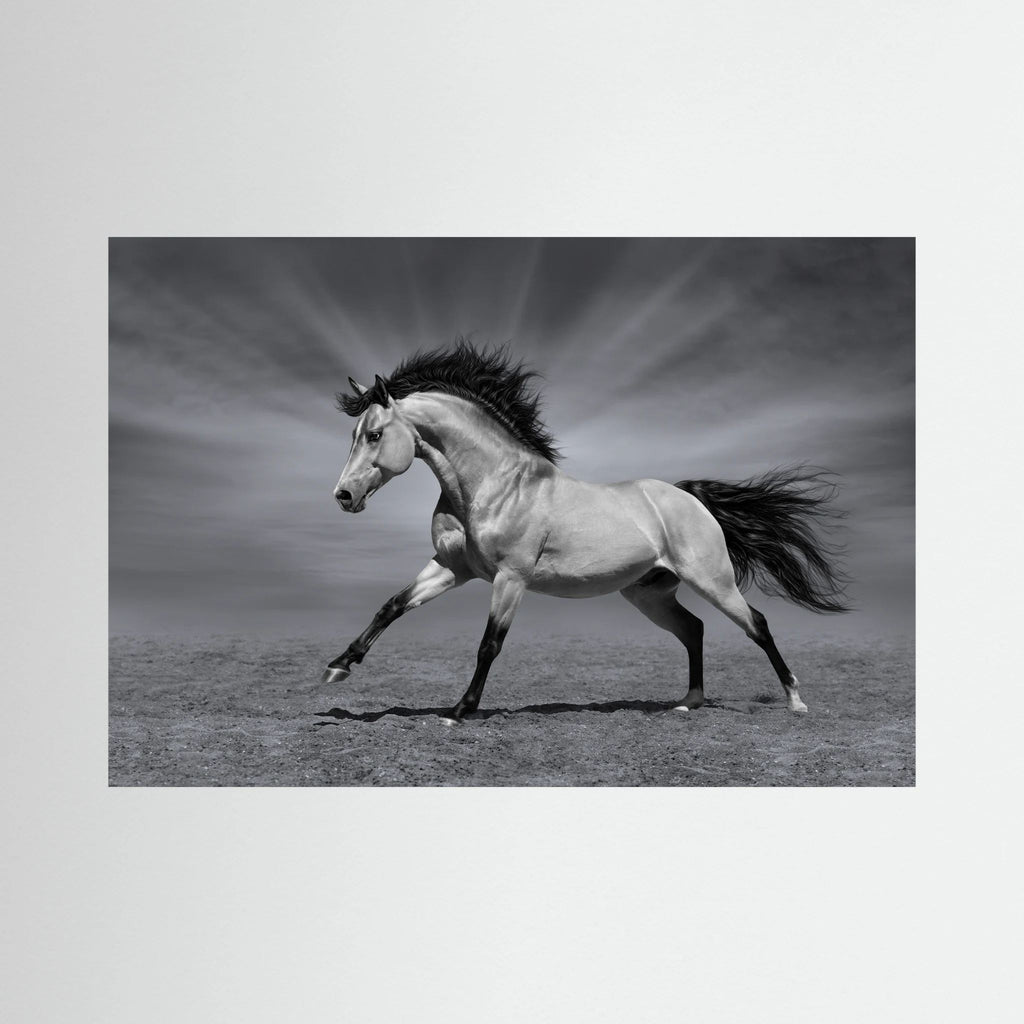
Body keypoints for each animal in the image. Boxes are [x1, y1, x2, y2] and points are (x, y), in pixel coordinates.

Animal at [323, 341, 849, 721]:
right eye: (354, 435)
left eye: (374, 435)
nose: (344, 496)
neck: (495, 485)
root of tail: (690, 499)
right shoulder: (453, 568)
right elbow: (392, 605)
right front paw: (338, 666)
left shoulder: (510, 578)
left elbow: (489, 644)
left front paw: (459, 710)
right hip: (648, 593)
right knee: (693, 629)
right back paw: (687, 703)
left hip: (712, 581)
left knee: (756, 624)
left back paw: (795, 702)